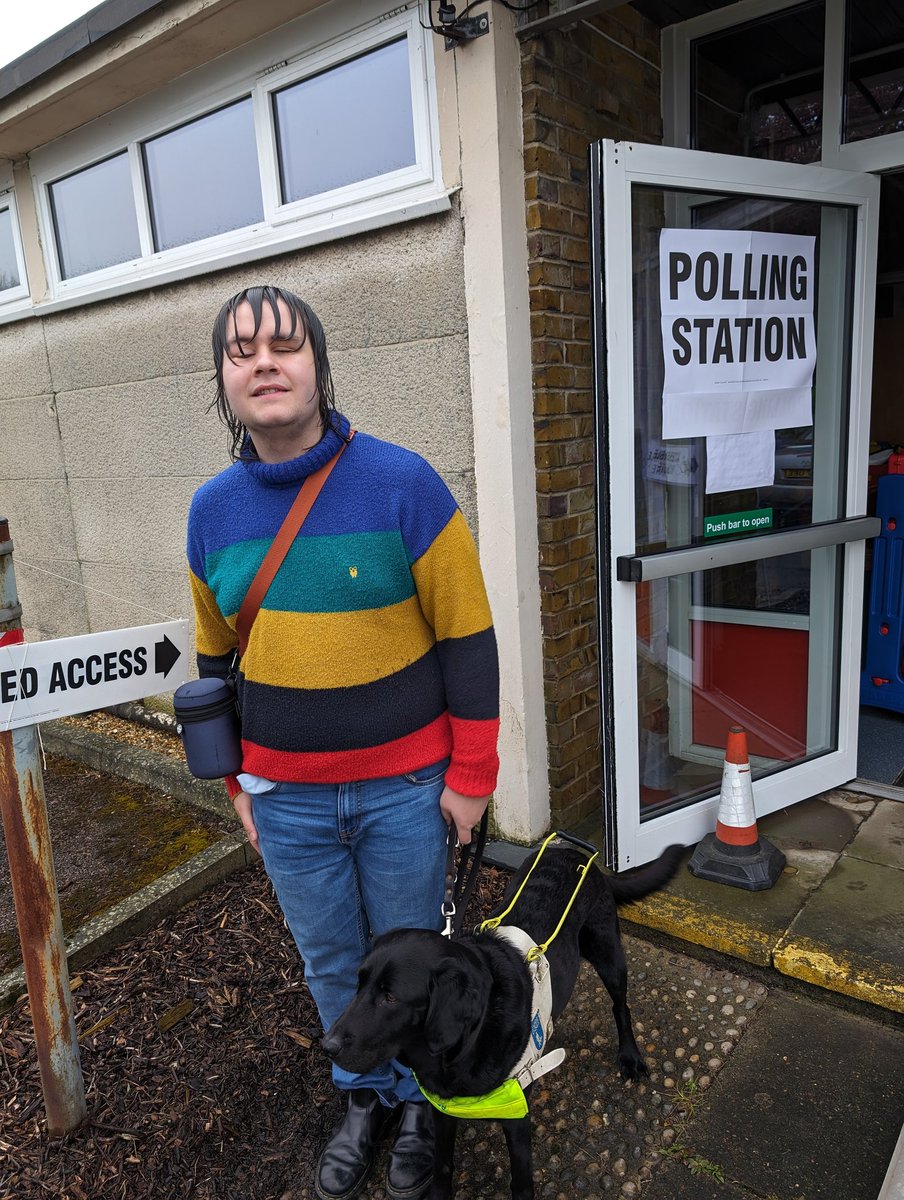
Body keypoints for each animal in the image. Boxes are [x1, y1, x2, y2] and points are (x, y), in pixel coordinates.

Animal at [321, 844, 681, 1200]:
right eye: (359, 984)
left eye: (390, 997)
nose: (328, 1046)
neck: (467, 1042)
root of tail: (578, 854)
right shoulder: (443, 1109)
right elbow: (442, 1165)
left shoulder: (515, 1111)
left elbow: (521, 1180)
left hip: (608, 953)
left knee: (621, 1007)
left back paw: (630, 1056)